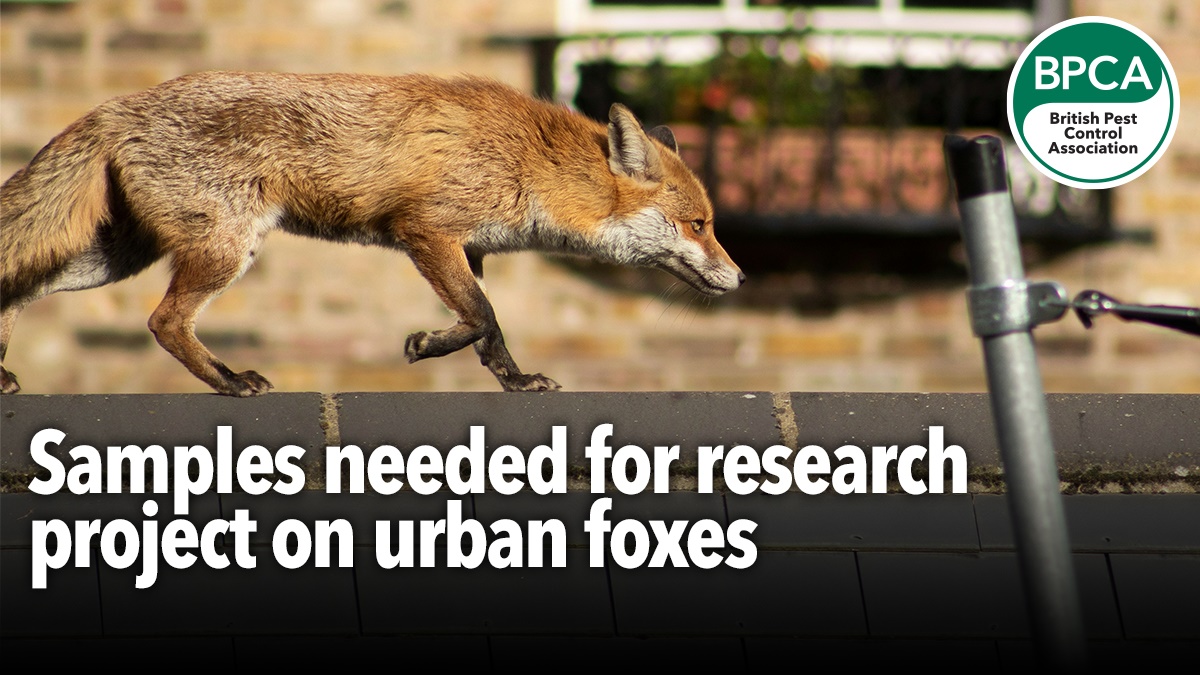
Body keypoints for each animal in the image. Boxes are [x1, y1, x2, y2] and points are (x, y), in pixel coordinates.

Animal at [0, 71, 743, 396]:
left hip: (114, 255)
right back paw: (230, 382)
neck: (532, 162)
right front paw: (437, 348)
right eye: (700, 224)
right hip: (223, 250)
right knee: (163, 321)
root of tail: (114, 105)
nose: (739, 277)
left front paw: (503, 374)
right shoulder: (427, 230)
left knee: (17, 288)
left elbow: (485, 327)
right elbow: (482, 316)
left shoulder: (468, 248)